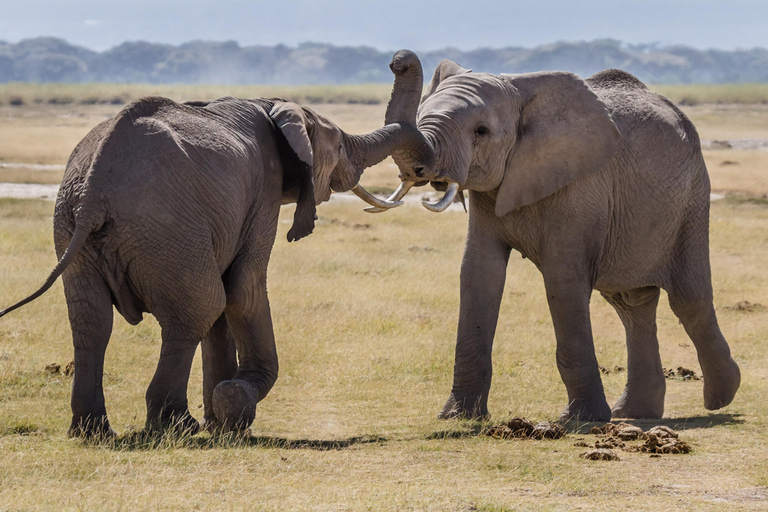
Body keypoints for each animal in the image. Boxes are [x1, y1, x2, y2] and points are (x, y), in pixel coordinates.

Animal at [0, 93, 420, 436]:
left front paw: (220, 420)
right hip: (165, 227)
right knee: (196, 309)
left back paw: (92, 432)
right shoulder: (263, 192)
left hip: (73, 227)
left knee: (92, 323)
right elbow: (242, 290)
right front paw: (233, 408)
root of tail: (93, 192)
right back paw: (176, 425)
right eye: (340, 144)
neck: (275, 104)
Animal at [378, 50, 736, 422]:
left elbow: (562, 278)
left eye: (481, 131)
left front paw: (581, 420)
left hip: (692, 199)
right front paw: (458, 417)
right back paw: (634, 413)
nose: (398, 60)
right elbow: (479, 272)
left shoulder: (580, 184)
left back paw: (721, 398)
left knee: (688, 299)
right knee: (631, 304)